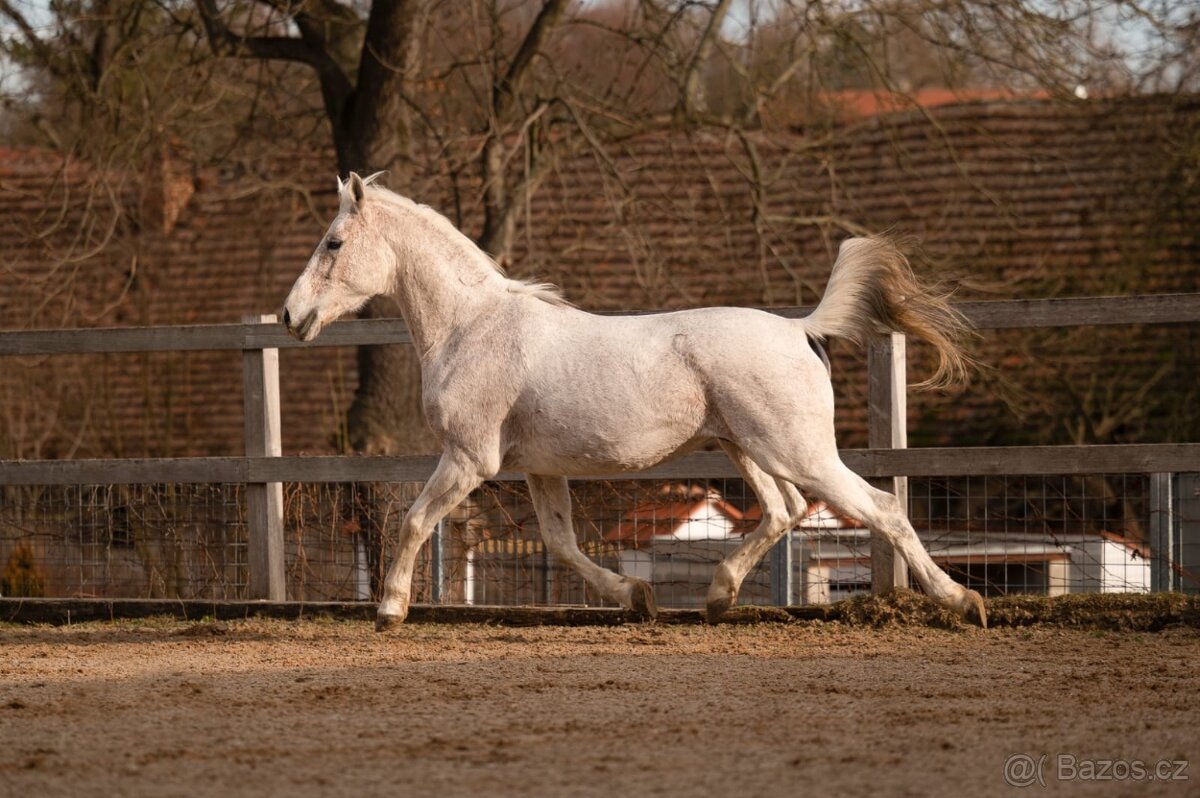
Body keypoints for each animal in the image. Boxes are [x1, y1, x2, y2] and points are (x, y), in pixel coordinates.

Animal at [288, 172, 984, 628]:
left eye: (333, 243)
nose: (292, 316)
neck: (471, 327)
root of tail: (801, 328)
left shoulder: (467, 460)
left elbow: (411, 521)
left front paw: (389, 610)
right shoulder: (540, 469)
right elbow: (563, 544)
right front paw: (636, 598)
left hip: (798, 451)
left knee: (880, 508)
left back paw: (962, 602)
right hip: (745, 447)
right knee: (783, 510)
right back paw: (719, 597)